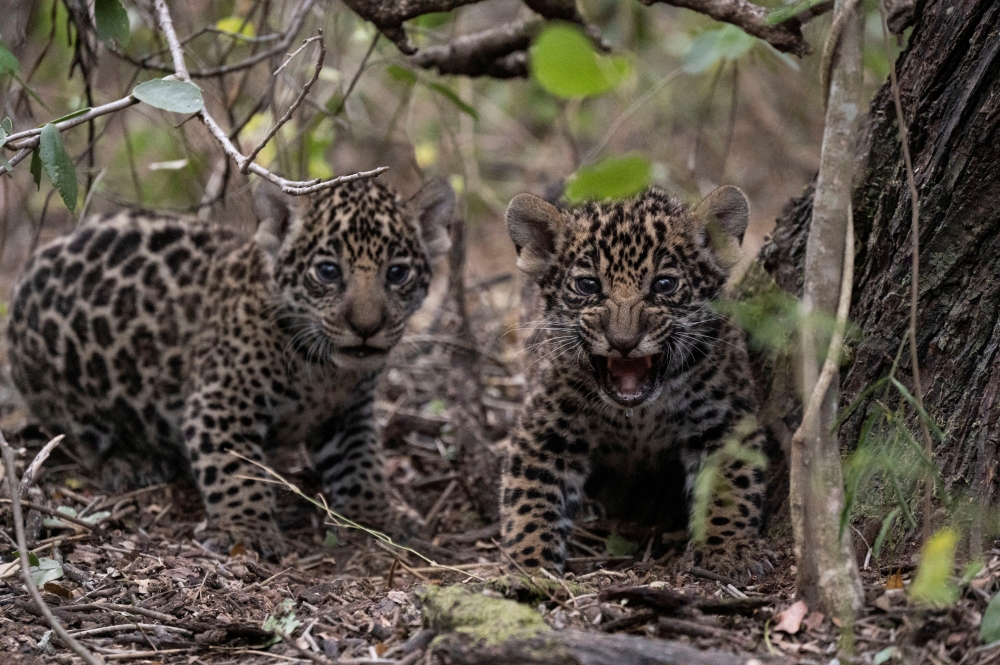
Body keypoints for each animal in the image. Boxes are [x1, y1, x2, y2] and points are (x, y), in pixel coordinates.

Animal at [6, 177, 454, 557]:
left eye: (397, 273)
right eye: (328, 271)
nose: (366, 328)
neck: (326, 372)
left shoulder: (350, 412)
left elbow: (362, 463)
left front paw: (376, 516)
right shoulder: (221, 404)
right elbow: (236, 471)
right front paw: (247, 532)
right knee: (83, 433)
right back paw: (133, 461)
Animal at [500, 184, 769, 580]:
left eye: (664, 284)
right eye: (588, 285)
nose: (623, 341)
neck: (637, 419)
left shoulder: (724, 420)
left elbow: (730, 487)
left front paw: (727, 550)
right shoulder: (545, 432)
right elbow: (530, 501)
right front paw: (528, 566)